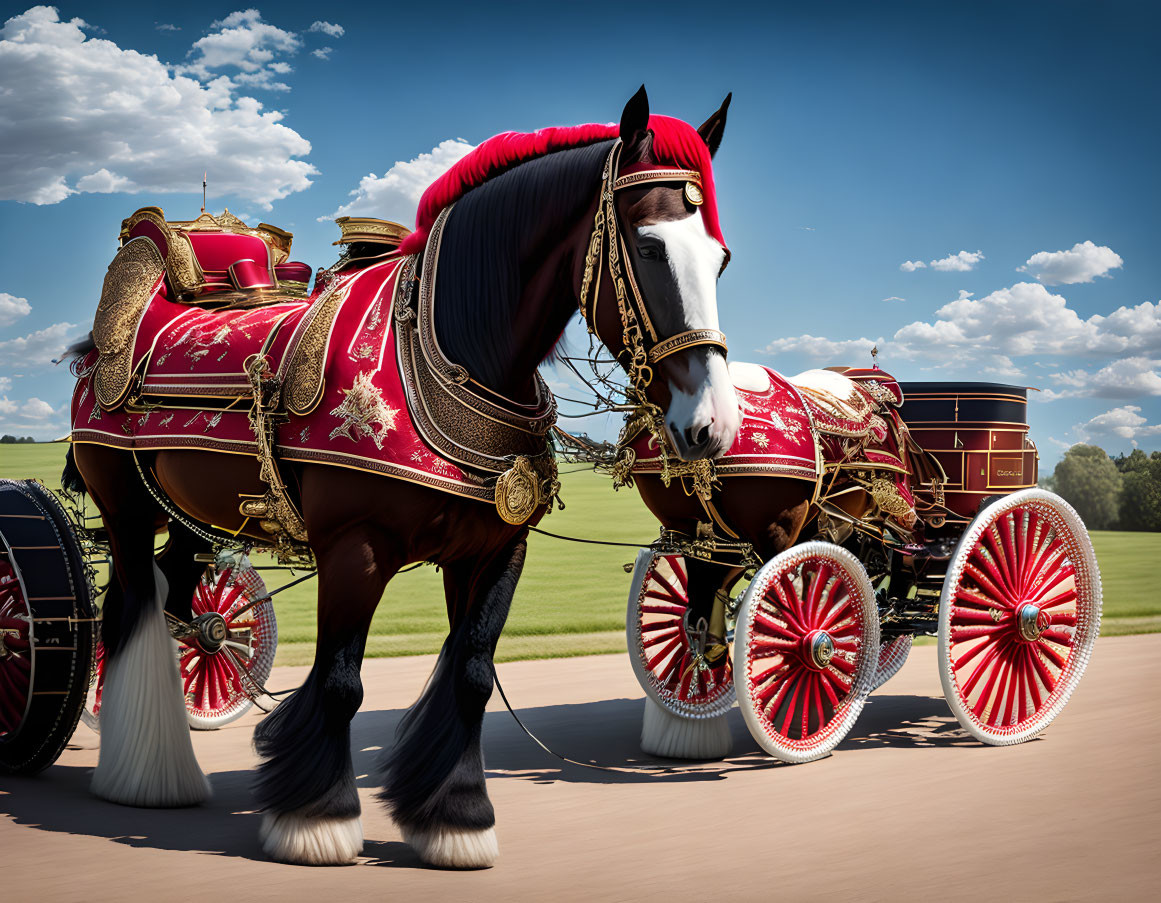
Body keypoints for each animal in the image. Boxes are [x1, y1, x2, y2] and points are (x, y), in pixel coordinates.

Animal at [67, 86, 738, 863]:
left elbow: (471, 676)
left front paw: (455, 816)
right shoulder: (353, 548)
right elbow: (339, 682)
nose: (712, 421)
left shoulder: (494, 550)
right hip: (123, 506)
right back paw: (141, 777)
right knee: (131, 613)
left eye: (720, 258)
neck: (443, 352)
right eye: (650, 245)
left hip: (188, 517)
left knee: (176, 605)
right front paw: (317, 818)